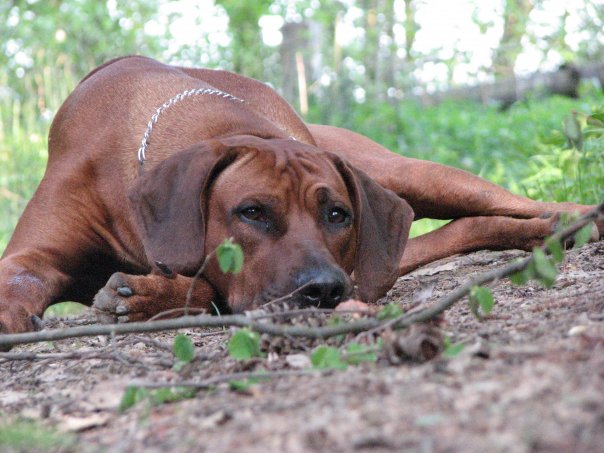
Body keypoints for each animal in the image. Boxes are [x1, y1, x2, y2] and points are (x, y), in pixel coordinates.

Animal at [0, 55, 600, 332]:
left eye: (337, 214)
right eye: (251, 212)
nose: (325, 290)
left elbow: (208, 285)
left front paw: (150, 295)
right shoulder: (33, 254)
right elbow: (19, 278)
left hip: (410, 175)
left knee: (503, 201)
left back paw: (574, 217)